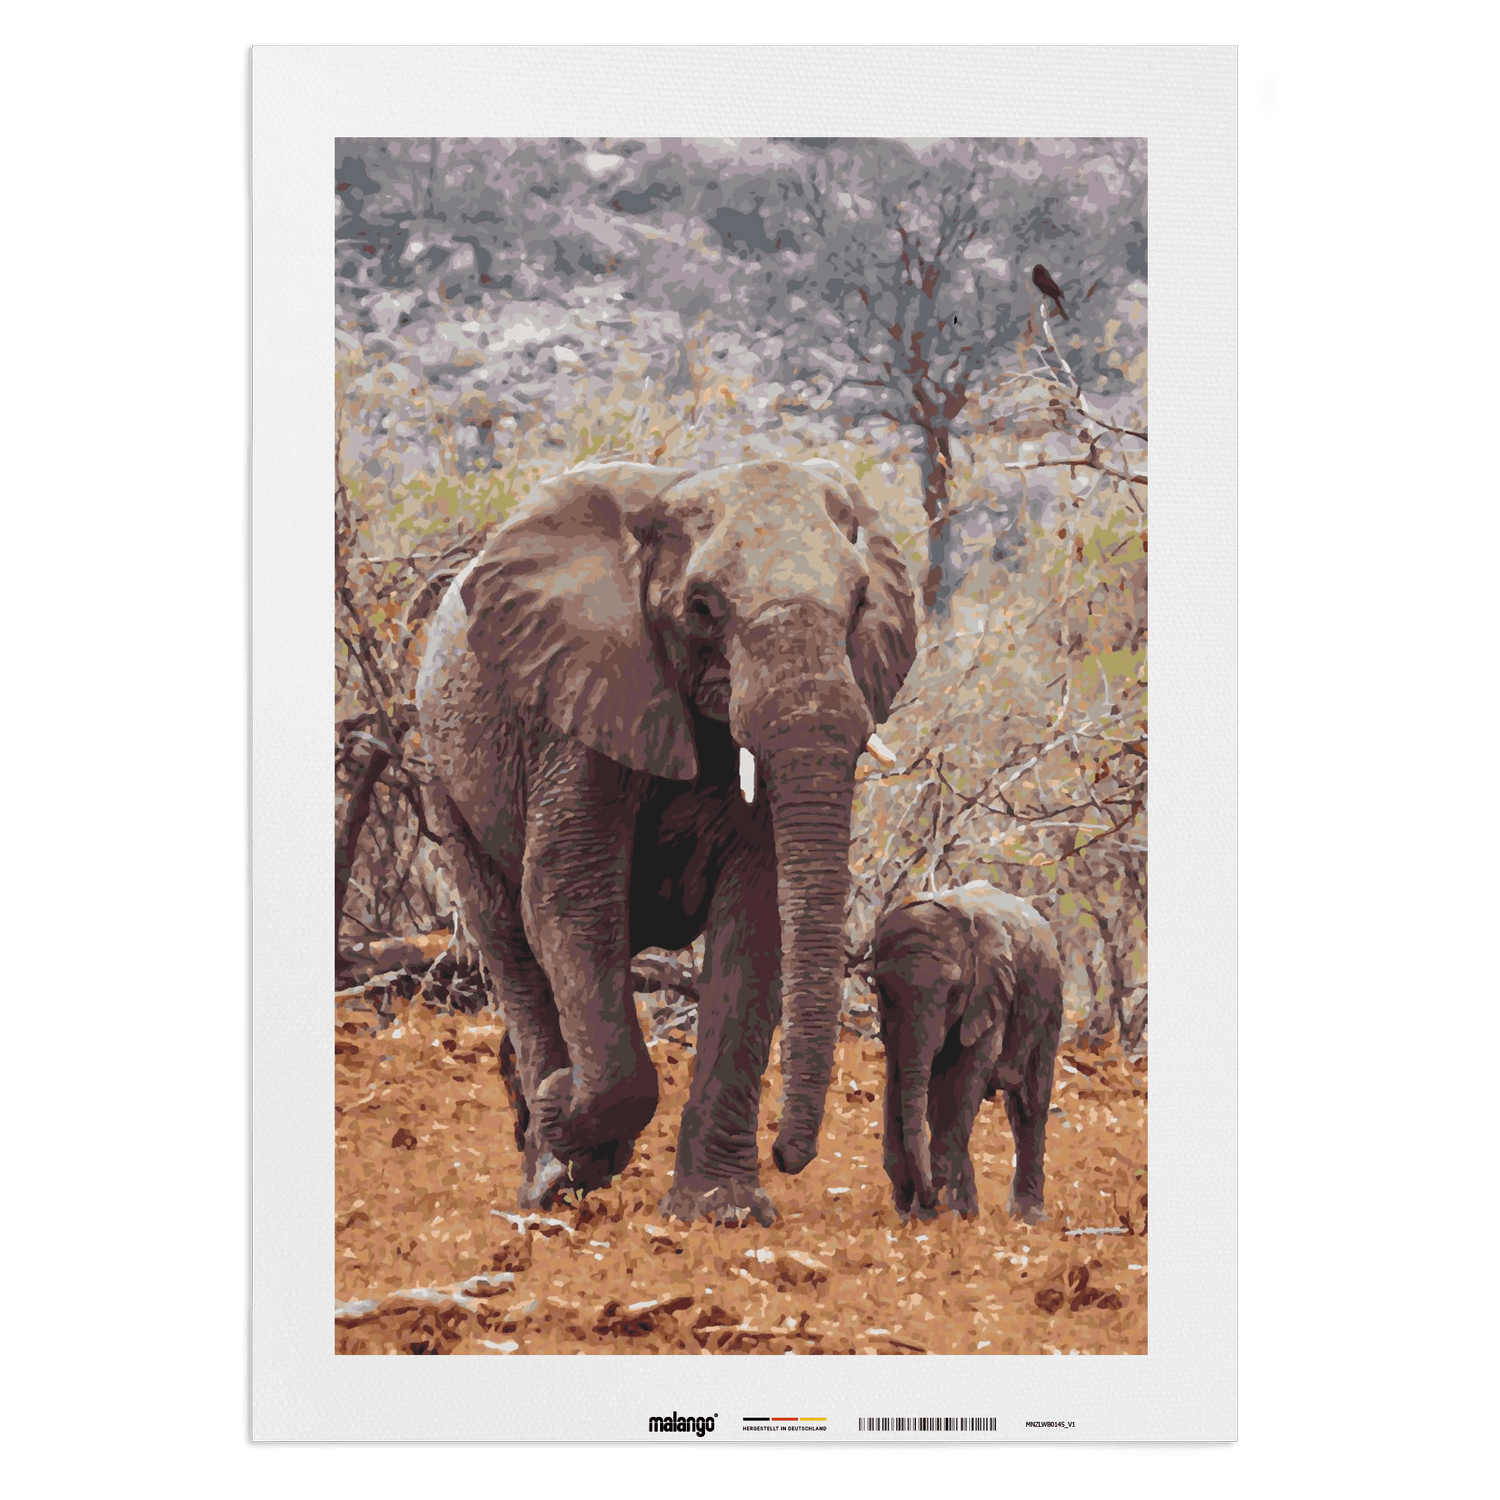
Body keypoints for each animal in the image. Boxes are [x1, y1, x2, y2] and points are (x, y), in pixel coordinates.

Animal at [417, 459, 918, 1230]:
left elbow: (758, 914)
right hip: (448, 777)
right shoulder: (581, 705)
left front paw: (721, 1213)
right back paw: (549, 1166)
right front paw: (569, 1119)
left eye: (861, 599)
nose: (788, 1155)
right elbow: (568, 894)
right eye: (704, 606)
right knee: (510, 941)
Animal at [870, 876, 1068, 1218]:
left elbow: (964, 1081)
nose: (918, 1200)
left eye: (953, 991)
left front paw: (932, 1211)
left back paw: (1026, 1216)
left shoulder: (991, 992)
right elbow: (901, 1077)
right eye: (882, 990)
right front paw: (926, 1211)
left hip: (1050, 1003)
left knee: (1029, 1106)